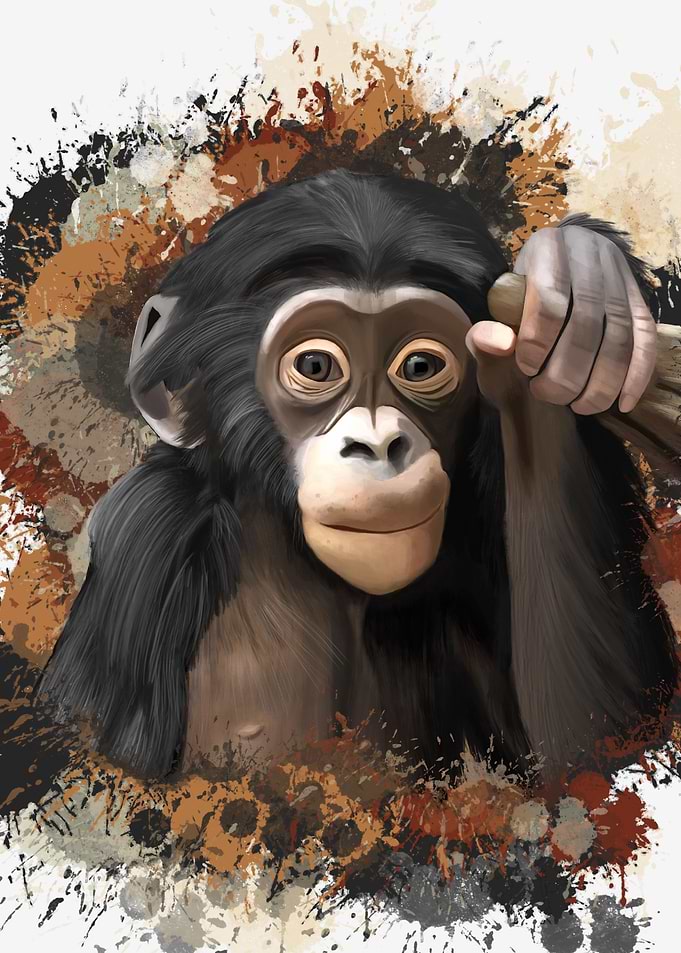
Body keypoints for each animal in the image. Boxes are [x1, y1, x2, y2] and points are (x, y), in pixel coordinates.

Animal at [38, 169, 681, 783]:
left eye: (419, 365)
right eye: (315, 365)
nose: (377, 444)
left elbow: (598, 744)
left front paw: (575, 293)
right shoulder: (144, 536)